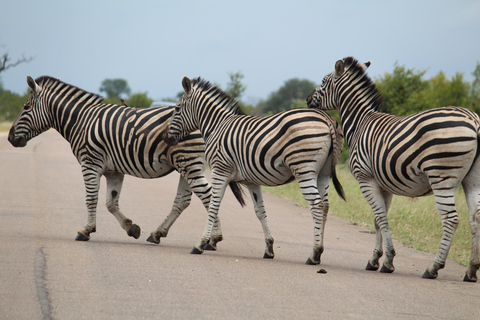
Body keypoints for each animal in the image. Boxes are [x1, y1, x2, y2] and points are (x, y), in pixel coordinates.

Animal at [8, 75, 244, 248]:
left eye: (26, 107)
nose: (10, 138)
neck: (81, 121)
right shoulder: (114, 170)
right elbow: (111, 202)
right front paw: (131, 228)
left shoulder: (89, 163)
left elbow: (91, 198)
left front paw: (86, 231)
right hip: (186, 165)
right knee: (183, 200)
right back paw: (157, 233)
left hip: (189, 162)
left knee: (208, 196)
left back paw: (212, 239)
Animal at [165, 77, 344, 264]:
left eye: (177, 108)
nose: (166, 138)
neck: (216, 125)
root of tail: (326, 118)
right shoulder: (252, 181)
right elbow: (260, 211)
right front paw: (269, 248)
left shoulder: (220, 170)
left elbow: (214, 205)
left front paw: (201, 243)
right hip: (324, 173)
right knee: (325, 205)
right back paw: (319, 251)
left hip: (304, 168)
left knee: (316, 205)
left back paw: (314, 254)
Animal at [308, 57, 480, 282]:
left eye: (323, 81)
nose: (307, 99)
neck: (360, 123)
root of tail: (474, 121)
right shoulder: (384, 185)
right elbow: (378, 220)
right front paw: (375, 259)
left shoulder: (365, 179)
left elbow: (381, 218)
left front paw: (388, 261)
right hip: (472, 179)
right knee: (475, 218)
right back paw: (471, 270)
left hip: (442, 177)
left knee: (451, 220)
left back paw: (433, 268)